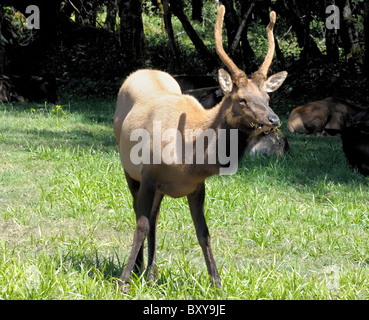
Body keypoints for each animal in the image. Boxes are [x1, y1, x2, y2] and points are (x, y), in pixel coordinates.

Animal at [113, 4, 286, 290]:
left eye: (267, 97)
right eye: (242, 99)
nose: (273, 119)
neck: (188, 161)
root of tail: (141, 71)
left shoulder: (196, 187)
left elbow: (203, 232)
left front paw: (216, 281)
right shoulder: (148, 175)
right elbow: (141, 225)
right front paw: (124, 280)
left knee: (156, 217)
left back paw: (151, 273)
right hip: (128, 170)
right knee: (141, 213)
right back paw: (138, 269)